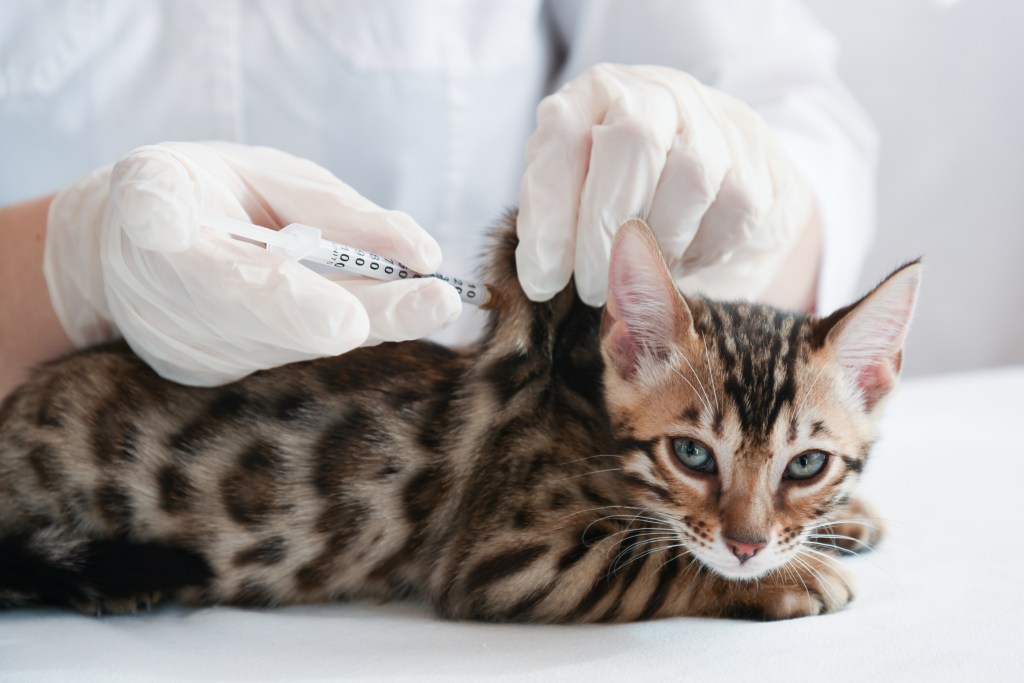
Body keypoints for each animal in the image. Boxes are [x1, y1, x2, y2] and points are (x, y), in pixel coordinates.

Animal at [0, 216, 921, 622]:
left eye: (806, 465)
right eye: (693, 454)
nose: (748, 543)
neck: (587, 419)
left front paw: (844, 522)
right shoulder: (506, 556)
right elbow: (656, 559)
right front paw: (791, 577)